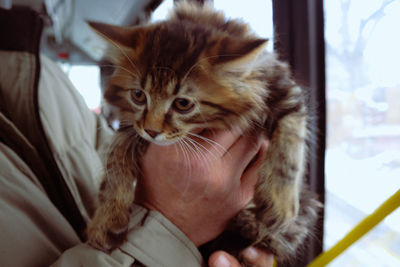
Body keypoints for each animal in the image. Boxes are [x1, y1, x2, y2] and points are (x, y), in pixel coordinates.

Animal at [86, 1, 322, 266]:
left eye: (182, 104)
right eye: (138, 95)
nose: (152, 131)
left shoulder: (283, 90)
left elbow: (289, 143)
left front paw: (277, 201)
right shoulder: (131, 126)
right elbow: (114, 161)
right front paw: (106, 219)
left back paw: (251, 222)